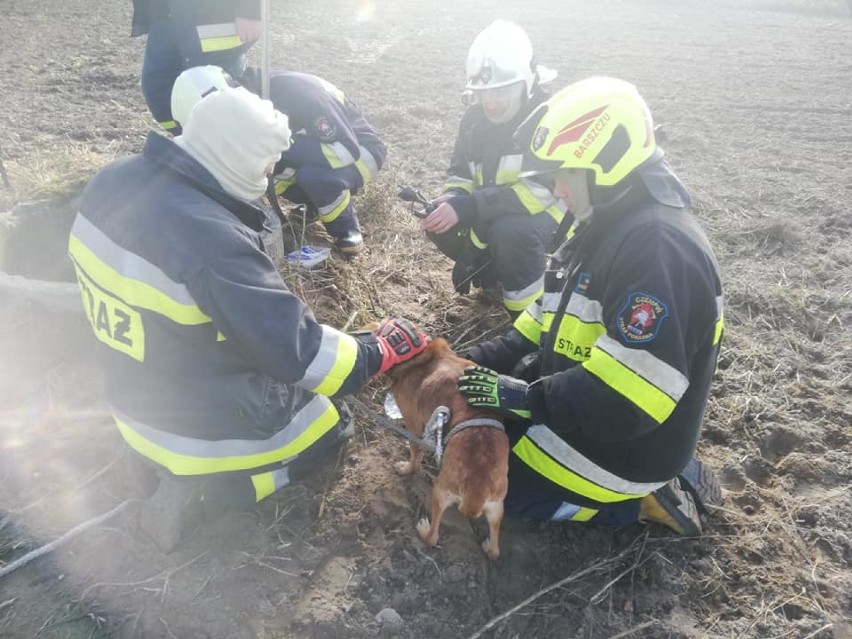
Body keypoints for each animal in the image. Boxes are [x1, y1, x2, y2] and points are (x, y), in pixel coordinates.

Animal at [382, 338, 510, 556]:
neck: (423, 354)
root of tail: (477, 489)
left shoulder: (413, 423)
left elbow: (414, 453)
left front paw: (406, 468)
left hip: (440, 492)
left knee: (433, 537)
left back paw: (424, 529)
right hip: (497, 508)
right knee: (495, 550)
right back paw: (487, 545)